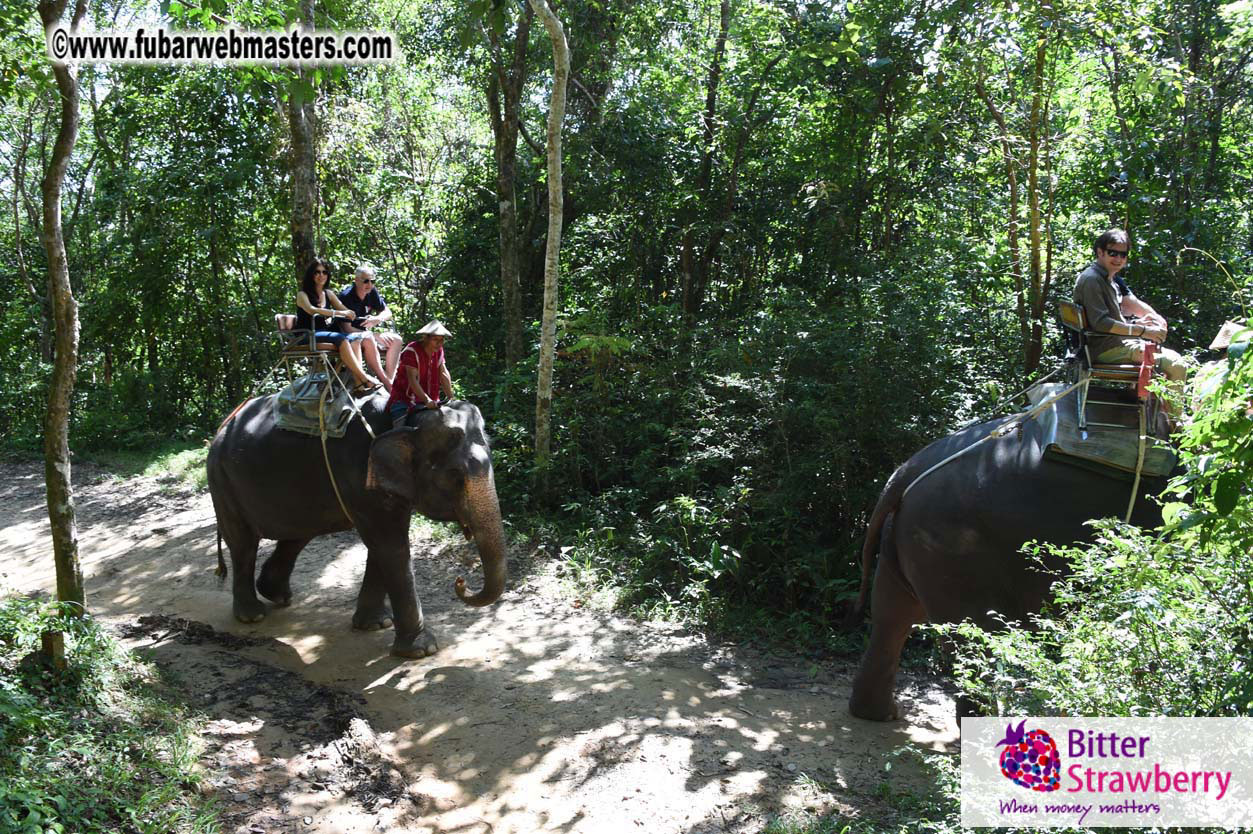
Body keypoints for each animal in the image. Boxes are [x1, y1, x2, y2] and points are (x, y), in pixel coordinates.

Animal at [206, 393, 506, 659]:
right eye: (455, 476)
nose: (460, 581)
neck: (407, 418)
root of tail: (220, 430)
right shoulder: (357, 472)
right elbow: (390, 545)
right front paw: (421, 650)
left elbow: (383, 546)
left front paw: (375, 624)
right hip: (222, 481)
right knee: (244, 545)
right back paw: (252, 615)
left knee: (297, 534)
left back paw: (277, 595)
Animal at [842, 388, 1173, 721]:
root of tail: (905, 472)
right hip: (956, 551)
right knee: (971, 645)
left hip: (908, 539)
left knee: (891, 617)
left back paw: (880, 714)